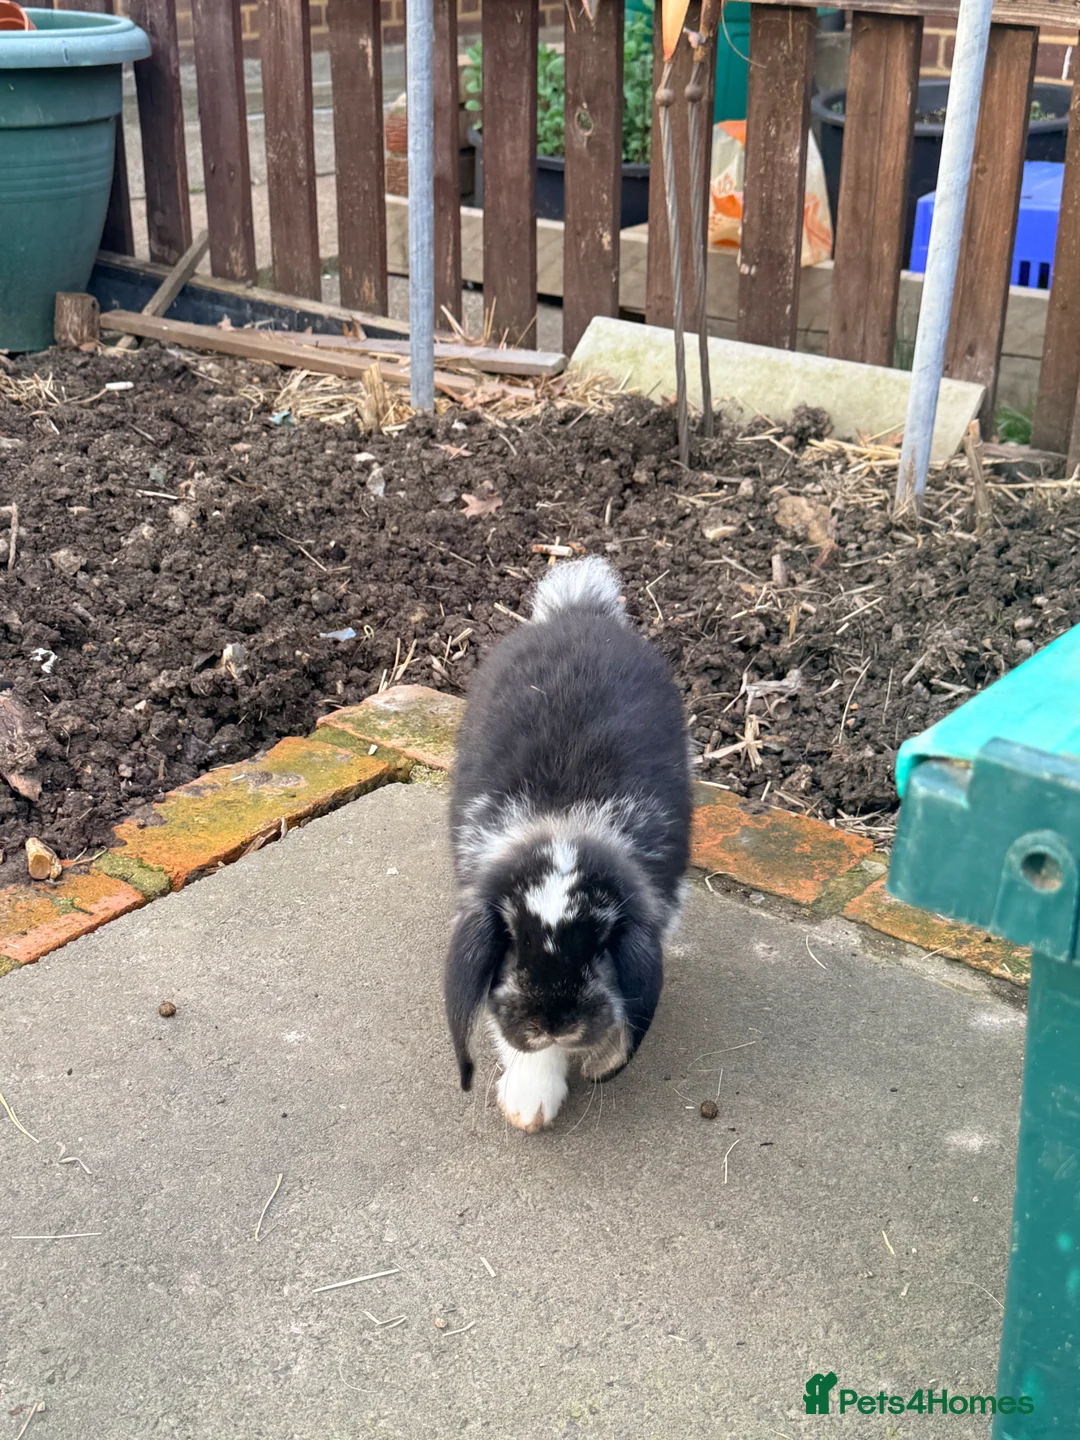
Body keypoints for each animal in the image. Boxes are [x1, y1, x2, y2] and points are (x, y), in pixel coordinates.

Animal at [443, 556, 691, 1131]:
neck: (562, 823)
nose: (554, 1022)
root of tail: (577, 611)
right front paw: (529, 1103)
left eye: (602, 948)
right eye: (512, 943)